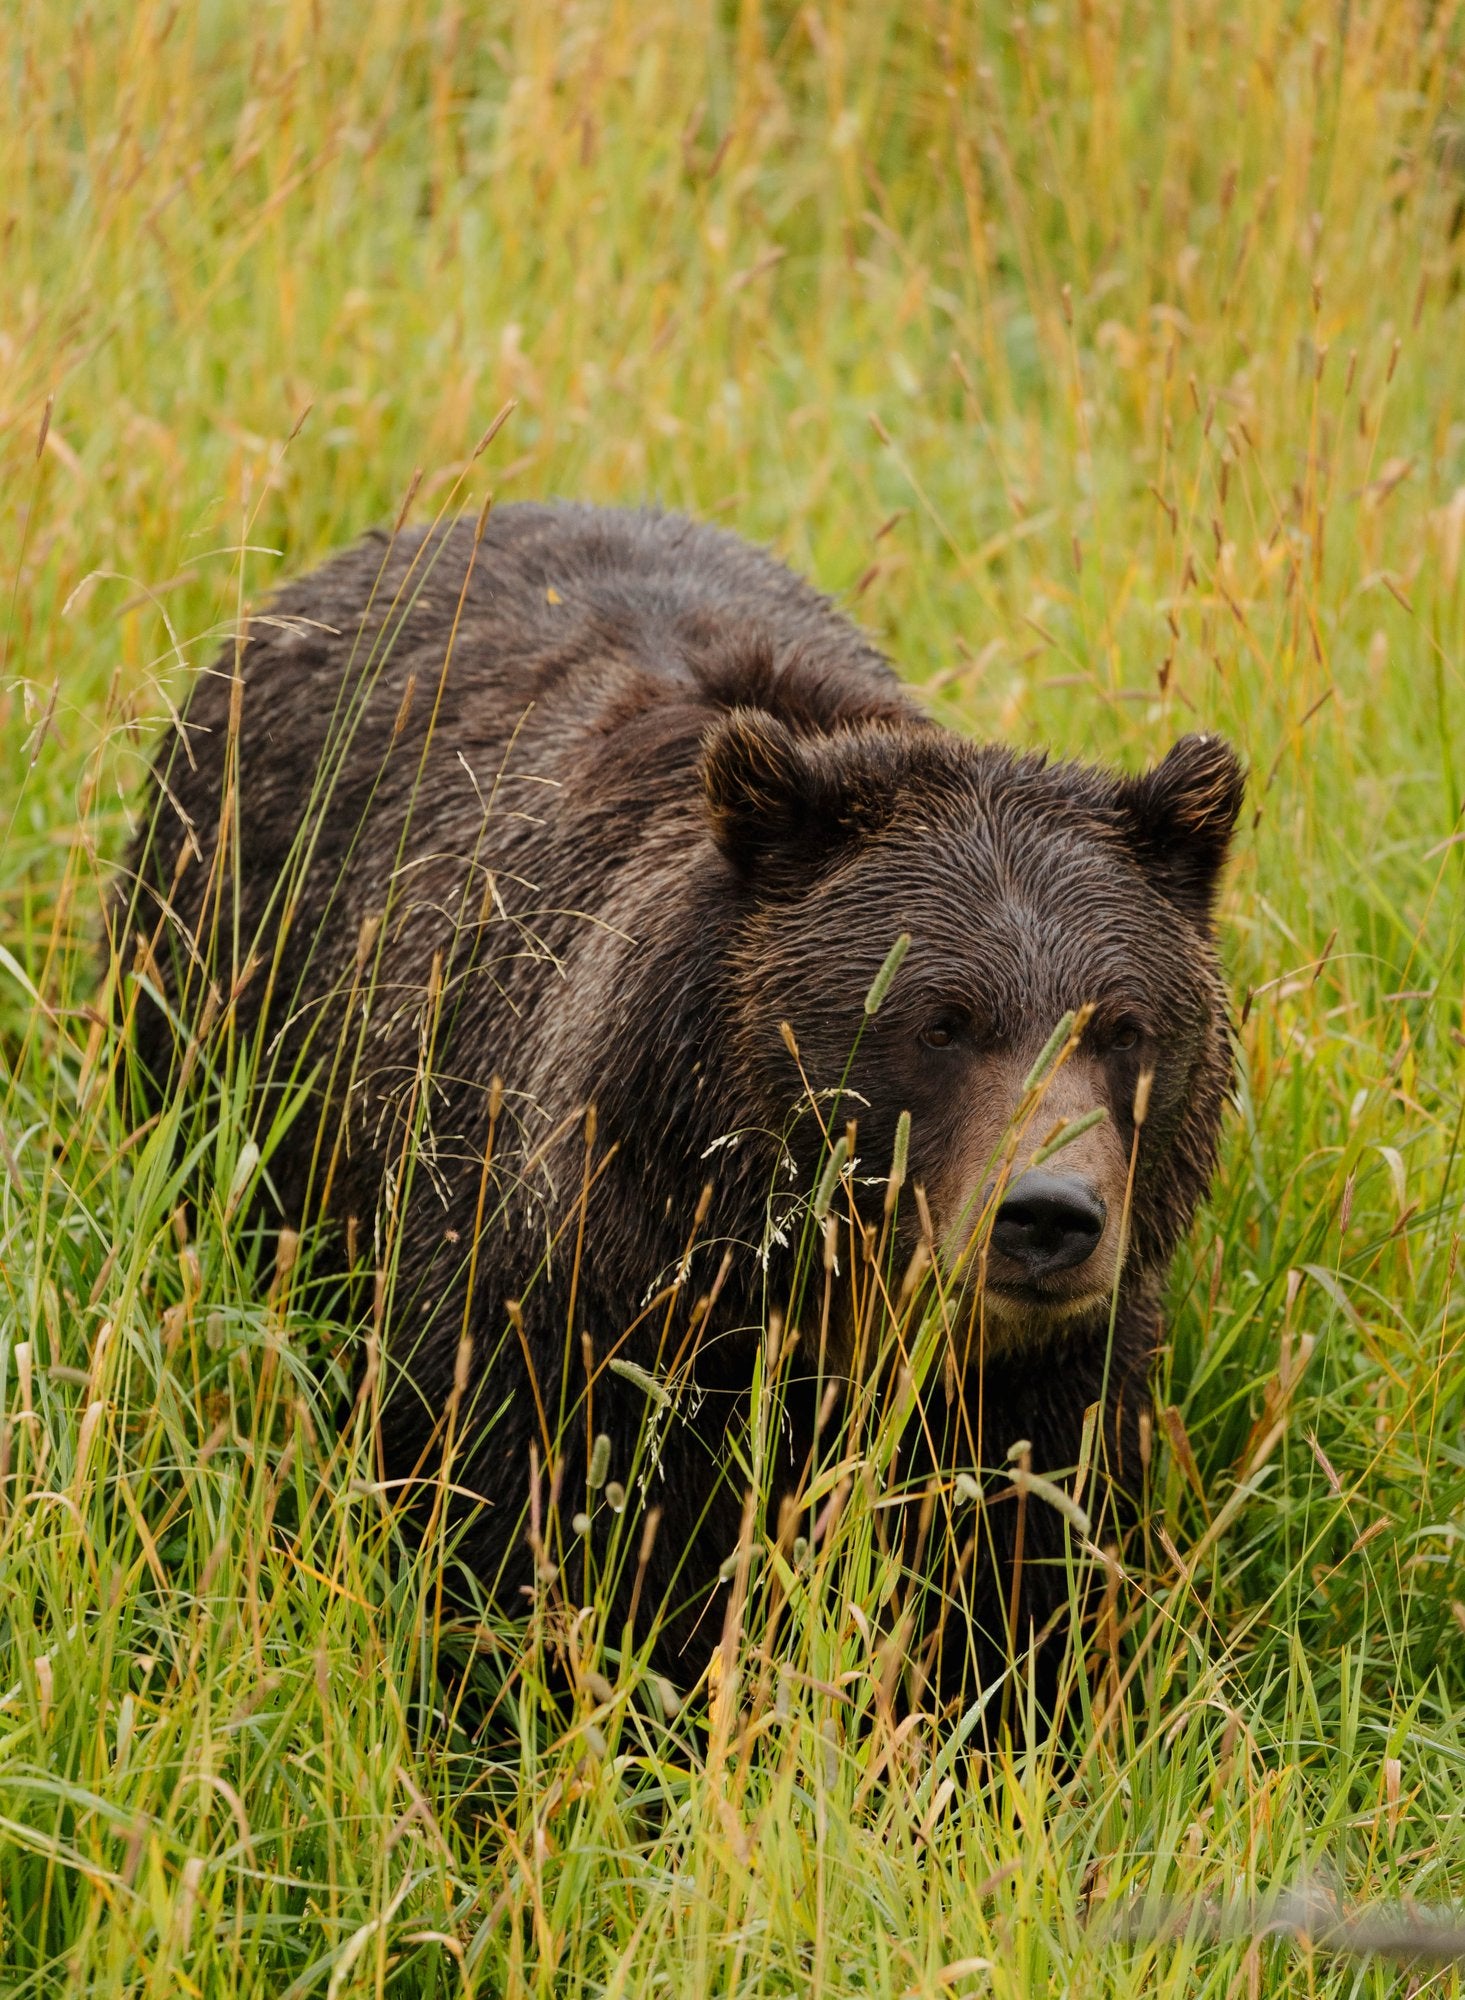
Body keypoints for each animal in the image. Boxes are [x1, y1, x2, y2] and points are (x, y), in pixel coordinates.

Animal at [120, 502, 1243, 1713]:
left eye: (1122, 1026)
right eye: (939, 1022)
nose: (1046, 1216)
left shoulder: (1046, 1379)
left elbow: (1019, 1571)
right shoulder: (571, 1298)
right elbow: (527, 1534)